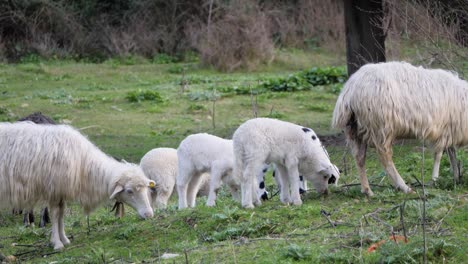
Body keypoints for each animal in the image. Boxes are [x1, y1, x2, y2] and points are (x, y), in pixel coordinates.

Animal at [0, 122, 156, 250]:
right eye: (129, 191)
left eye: (146, 189)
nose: (149, 214)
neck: (83, 164)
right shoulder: (54, 189)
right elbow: (56, 215)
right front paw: (57, 243)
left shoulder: (60, 192)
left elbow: (61, 214)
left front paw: (65, 239)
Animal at [332, 60, 468, 195]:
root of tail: (349, 92)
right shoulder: (443, 130)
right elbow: (439, 155)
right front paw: (435, 179)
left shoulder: (451, 130)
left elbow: (451, 153)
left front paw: (456, 177)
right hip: (380, 126)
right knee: (385, 158)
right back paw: (404, 187)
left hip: (356, 129)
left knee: (359, 157)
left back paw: (367, 190)